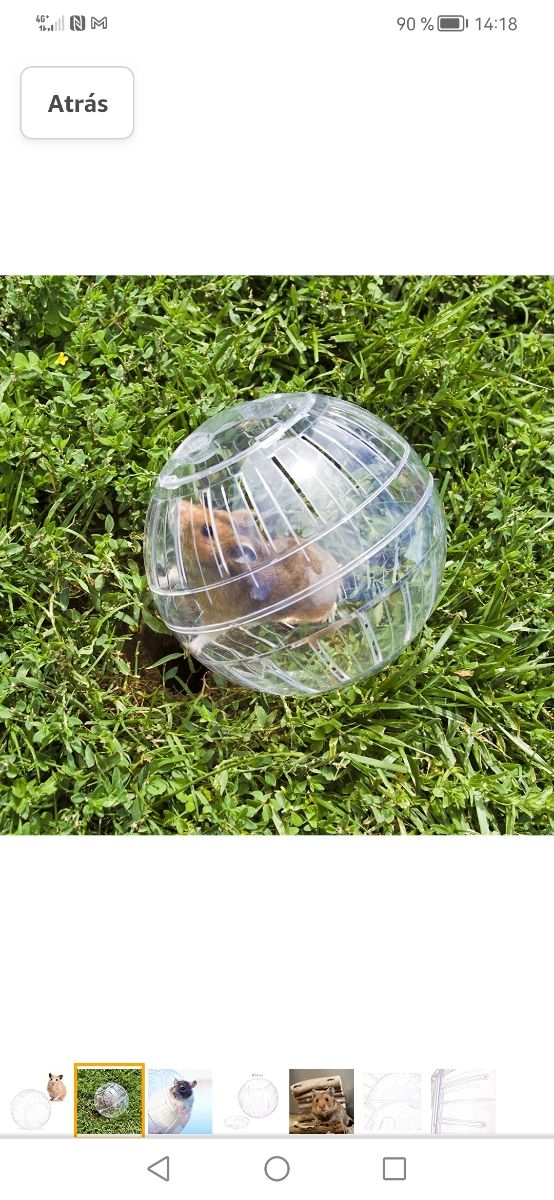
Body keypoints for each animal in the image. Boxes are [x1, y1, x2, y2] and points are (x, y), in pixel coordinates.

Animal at [180, 501, 339, 652]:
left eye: (206, 530)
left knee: (332, 606)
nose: (178, 505)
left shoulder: (221, 614)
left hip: (307, 612)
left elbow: (207, 634)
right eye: (205, 506)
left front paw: (189, 648)